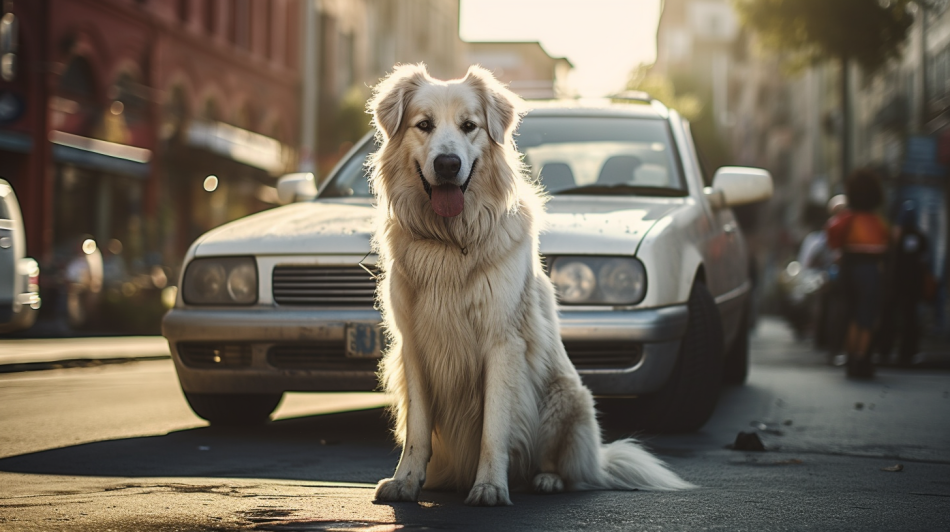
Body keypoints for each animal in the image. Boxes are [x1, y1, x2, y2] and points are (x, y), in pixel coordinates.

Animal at [368, 64, 696, 504]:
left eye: (469, 126)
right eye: (424, 125)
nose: (448, 164)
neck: (451, 240)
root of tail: (597, 460)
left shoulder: (502, 342)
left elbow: (494, 427)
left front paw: (490, 486)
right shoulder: (414, 346)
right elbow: (417, 430)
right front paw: (405, 481)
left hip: (567, 398)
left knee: (565, 467)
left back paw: (546, 479)